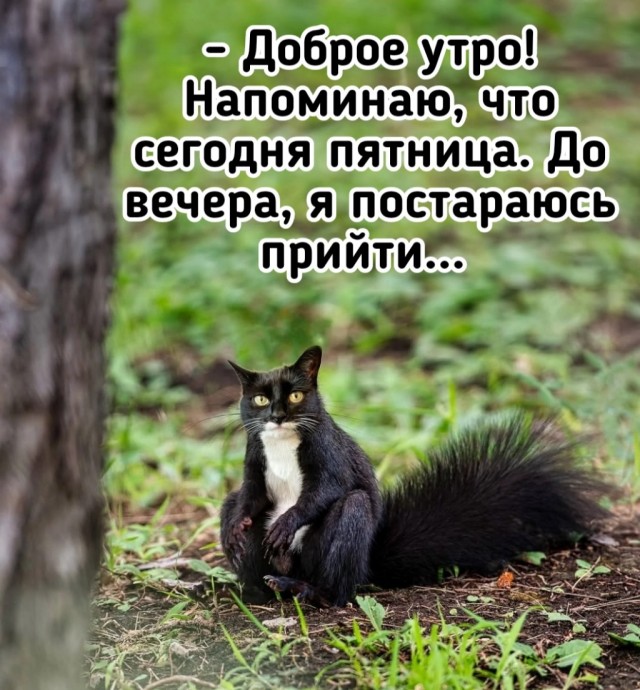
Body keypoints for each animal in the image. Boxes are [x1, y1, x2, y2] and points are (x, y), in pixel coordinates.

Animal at [220, 346, 607, 606]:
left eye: (298, 395)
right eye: (258, 400)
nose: (276, 416)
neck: (282, 442)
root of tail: (368, 564)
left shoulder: (329, 455)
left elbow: (326, 490)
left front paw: (285, 523)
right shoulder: (254, 459)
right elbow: (252, 494)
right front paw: (237, 527)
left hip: (337, 544)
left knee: (340, 580)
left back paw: (308, 590)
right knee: (234, 508)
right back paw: (253, 587)